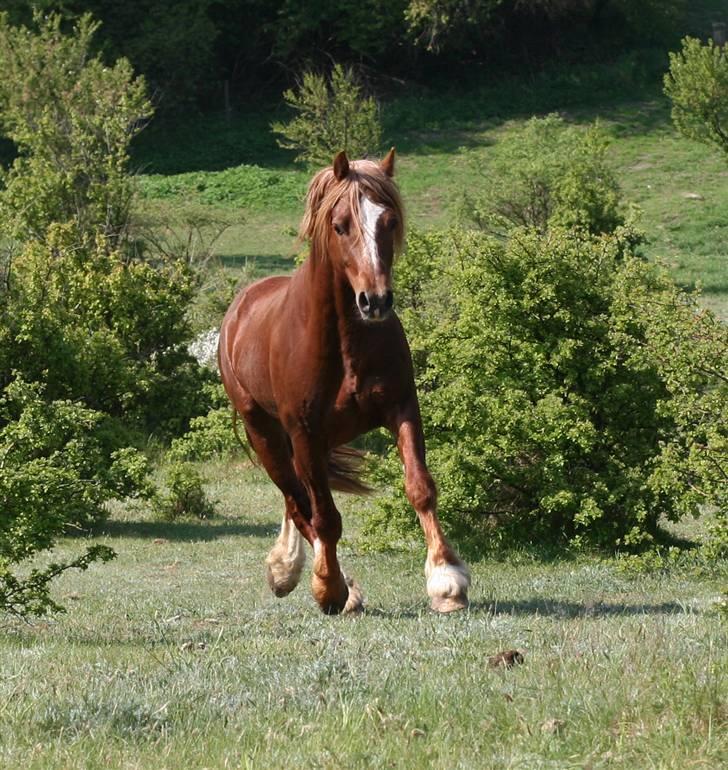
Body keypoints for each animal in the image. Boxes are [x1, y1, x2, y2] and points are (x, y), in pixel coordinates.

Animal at [216, 148, 470, 612]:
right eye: (340, 225)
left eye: (389, 221)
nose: (376, 301)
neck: (344, 342)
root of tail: (239, 310)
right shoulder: (304, 432)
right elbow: (326, 517)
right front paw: (331, 588)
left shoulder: (401, 408)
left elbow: (420, 487)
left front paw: (447, 581)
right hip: (267, 436)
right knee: (299, 502)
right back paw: (310, 577)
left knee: (298, 501)